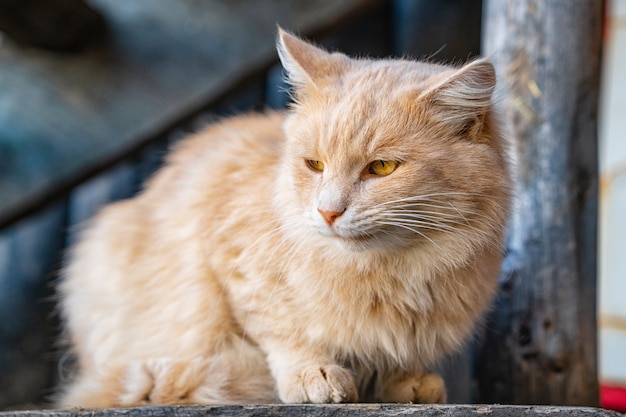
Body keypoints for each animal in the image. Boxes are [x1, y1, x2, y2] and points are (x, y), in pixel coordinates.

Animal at [56, 29, 510, 406]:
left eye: (382, 168)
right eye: (314, 164)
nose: (328, 211)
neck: (390, 272)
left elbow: (397, 355)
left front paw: (405, 380)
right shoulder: (236, 263)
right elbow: (284, 333)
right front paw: (314, 374)